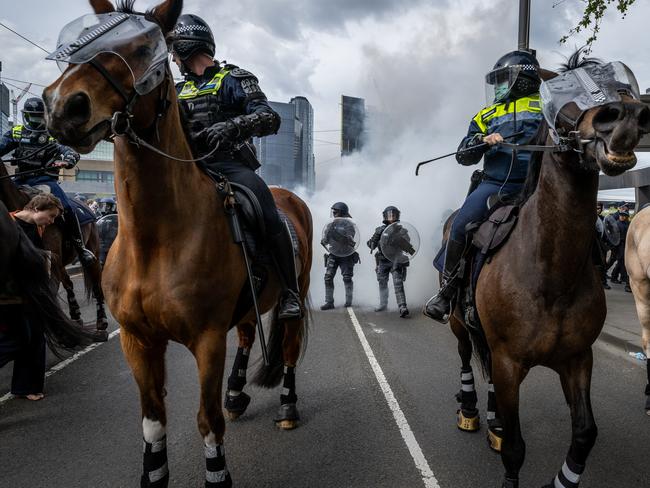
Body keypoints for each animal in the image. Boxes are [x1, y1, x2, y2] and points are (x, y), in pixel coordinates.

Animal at [0, 158, 106, 334]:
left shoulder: (49, 260)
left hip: (93, 250)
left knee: (96, 282)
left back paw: (101, 322)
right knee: (68, 283)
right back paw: (76, 316)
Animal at [43, 0, 312, 488]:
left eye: (143, 47)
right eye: (78, 41)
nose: (60, 106)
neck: (156, 242)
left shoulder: (207, 339)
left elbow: (207, 420)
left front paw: (217, 473)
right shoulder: (138, 340)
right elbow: (153, 423)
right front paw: (154, 473)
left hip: (296, 292)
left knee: (288, 344)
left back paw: (286, 404)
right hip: (247, 304)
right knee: (248, 334)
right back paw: (237, 391)